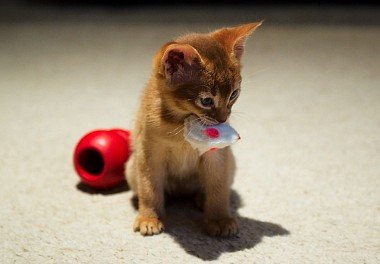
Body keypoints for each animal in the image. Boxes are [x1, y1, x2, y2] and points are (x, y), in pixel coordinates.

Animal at [126, 22, 262, 237]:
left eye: (234, 94)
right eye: (206, 101)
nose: (223, 119)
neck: (180, 125)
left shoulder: (216, 156)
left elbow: (218, 189)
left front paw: (219, 219)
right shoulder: (149, 152)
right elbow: (149, 188)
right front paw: (150, 218)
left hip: (230, 164)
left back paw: (201, 198)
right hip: (131, 167)